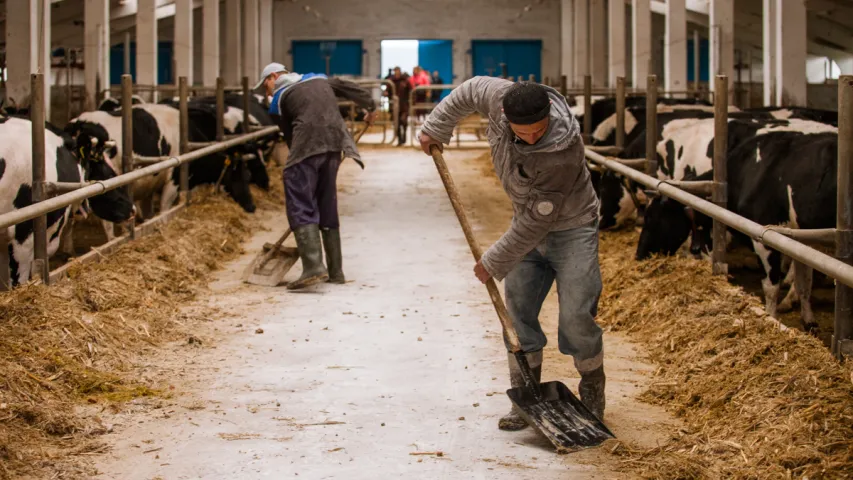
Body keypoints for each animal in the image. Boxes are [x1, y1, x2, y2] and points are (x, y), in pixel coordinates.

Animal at [636, 119, 836, 334]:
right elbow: (804, 283)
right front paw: (809, 321)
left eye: (653, 218)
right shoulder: (800, 242)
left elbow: (771, 285)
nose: (638, 255)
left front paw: (771, 318)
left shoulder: (766, 237)